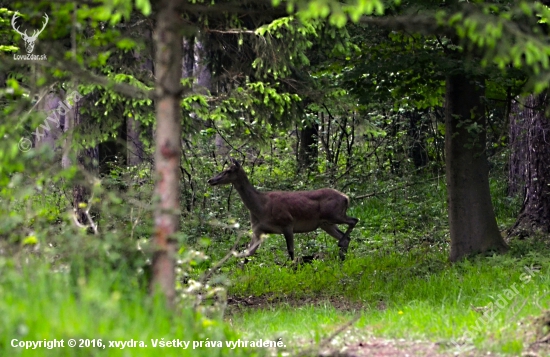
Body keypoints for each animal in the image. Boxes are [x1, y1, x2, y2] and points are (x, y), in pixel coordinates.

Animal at [206, 160, 358, 260]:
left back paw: (341, 249)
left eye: (228, 170)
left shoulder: (287, 223)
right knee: (347, 237)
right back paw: (342, 258)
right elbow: (247, 254)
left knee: (354, 220)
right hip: (325, 223)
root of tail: (346, 197)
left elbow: (290, 251)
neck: (261, 207)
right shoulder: (258, 230)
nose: (210, 180)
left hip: (334, 214)